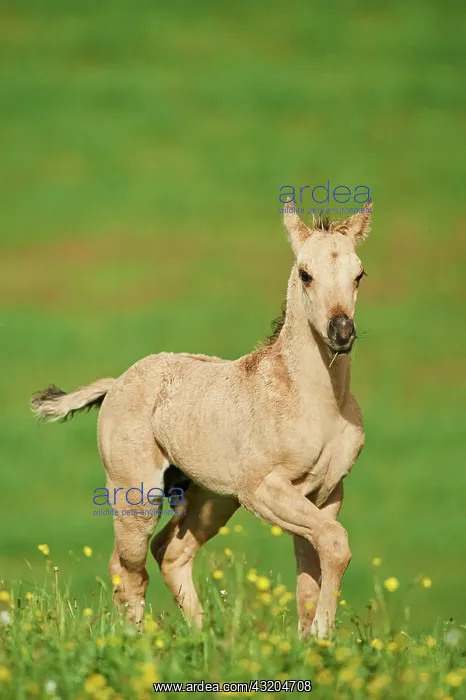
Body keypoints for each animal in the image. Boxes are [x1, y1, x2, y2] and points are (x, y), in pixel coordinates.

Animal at [31, 202, 372, 637]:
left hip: (211, 499)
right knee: (128, 570)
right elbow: (335, 544)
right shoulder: (262, 489)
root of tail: (117, 382)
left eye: (359, 274)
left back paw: (205, 636)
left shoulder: (326, 494)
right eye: (305, 273)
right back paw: (142, 642)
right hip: (137, 495)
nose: (341, 332)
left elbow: (313, 573)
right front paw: (320, 636)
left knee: (169, 554)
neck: (315, 402)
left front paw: (310, 642)